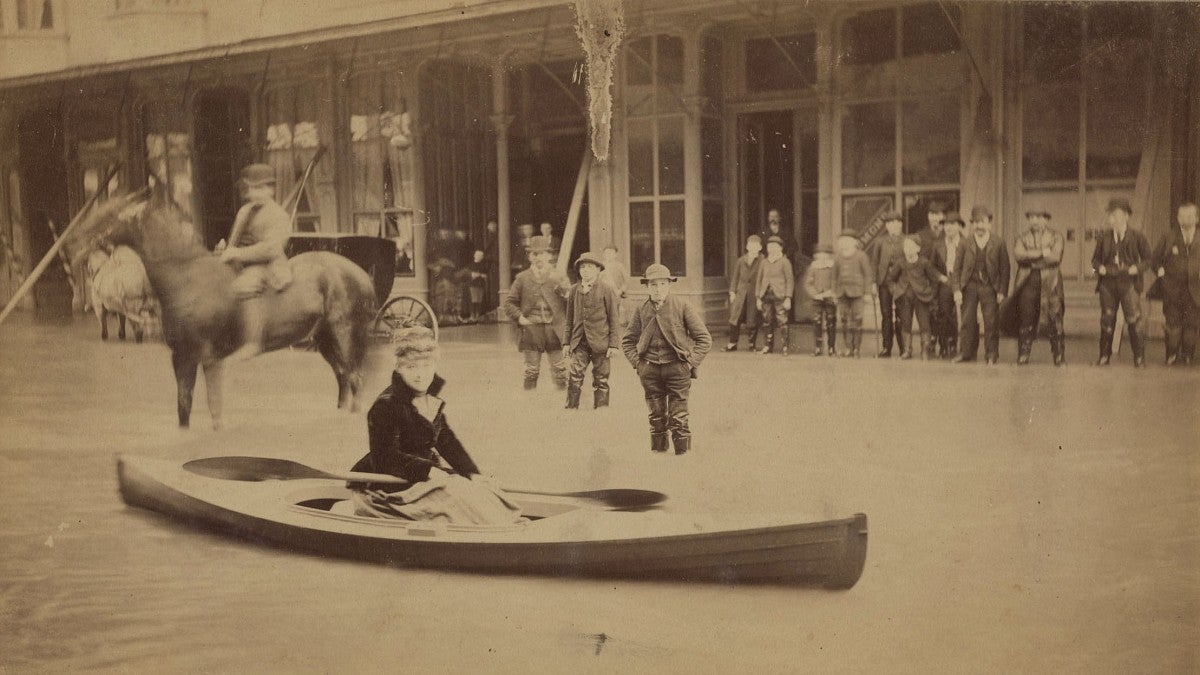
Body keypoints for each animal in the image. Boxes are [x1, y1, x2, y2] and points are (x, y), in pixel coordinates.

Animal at [75, 189, 374, 427]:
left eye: (111, 215)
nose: (78, 240)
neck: (187, 278)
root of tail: (362, 275)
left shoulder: (203, 357)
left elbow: (209, 406)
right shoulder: (186, 357)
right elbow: (187, 406)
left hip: (344, 335)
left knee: (355, 379)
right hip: (325, 338)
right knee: (343, 378)